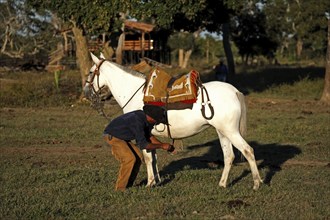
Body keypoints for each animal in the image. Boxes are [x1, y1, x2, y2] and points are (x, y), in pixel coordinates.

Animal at [84, 52, 262, 189]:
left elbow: (147, 158)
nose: (85, 91)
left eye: (92, 71)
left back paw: (256, 184)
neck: (136, 93)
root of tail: (235, 91)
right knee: (229, 156)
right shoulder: (148, 134)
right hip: (222, 132)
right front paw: (156, 181)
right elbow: (153, 157)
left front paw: (149, 183)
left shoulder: (141, 133)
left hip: (231, 131)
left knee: (248, 151)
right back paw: (223, 184)